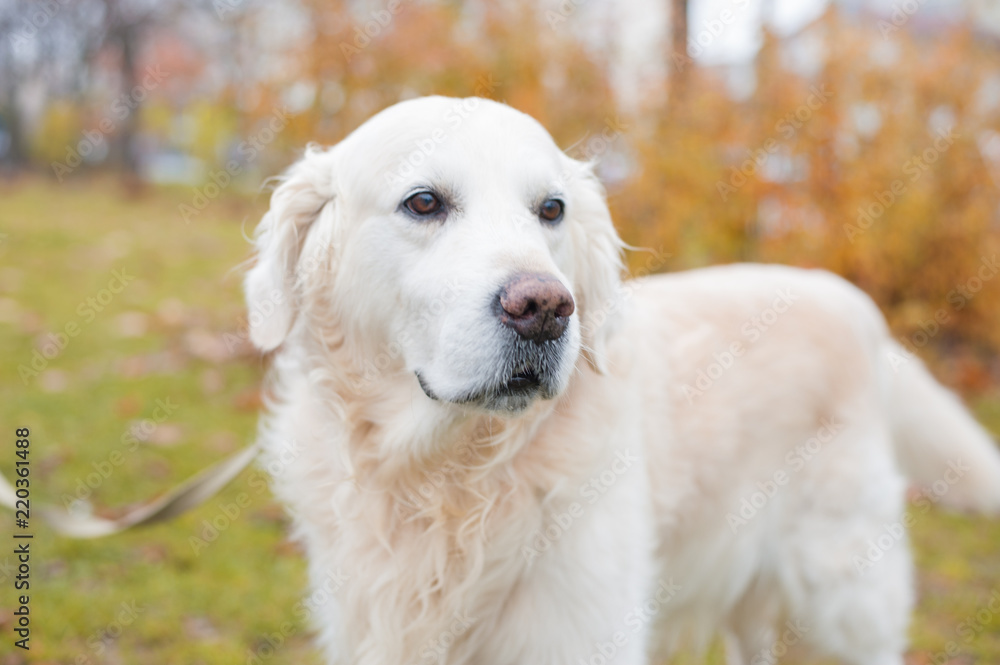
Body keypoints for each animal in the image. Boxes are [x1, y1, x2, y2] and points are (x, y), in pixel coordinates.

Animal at [244, 97, 1000, 664]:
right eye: (424, 202)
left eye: (551, 210)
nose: (545, 308)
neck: (447, 482)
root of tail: (851, 301)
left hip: (840, 598)